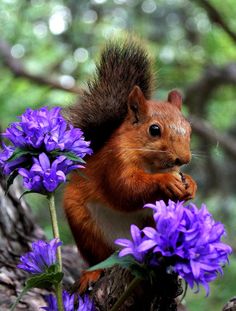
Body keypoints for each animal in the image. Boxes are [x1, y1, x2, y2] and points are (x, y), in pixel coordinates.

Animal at [63, 40, 197, 292]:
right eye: (154, 130)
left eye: (189, 129)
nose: (183, 159)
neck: (151, 164)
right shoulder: (114, 162)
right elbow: (125, 190)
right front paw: (165, 181)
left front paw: (190, 185)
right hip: (86, 229)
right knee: (98, 258)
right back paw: (91, 274)